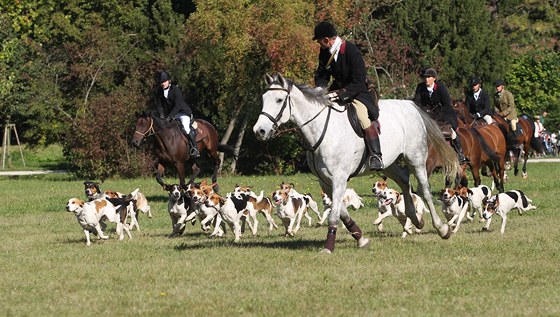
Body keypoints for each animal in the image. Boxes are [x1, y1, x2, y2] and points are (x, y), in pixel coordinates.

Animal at [254, 73, 460, 253]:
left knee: (424, 189)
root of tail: (410, 105)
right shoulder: (326, 182)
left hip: (415, 158)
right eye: (264, 99)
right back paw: (415, 219)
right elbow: (342, 213)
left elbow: (334, 216)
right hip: (387, 163)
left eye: (279, 100)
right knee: (403, 179)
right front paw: (360, 238)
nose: (259, 131)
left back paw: (441, 228)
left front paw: (329, 247)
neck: (321, 129)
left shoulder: (338, 179)